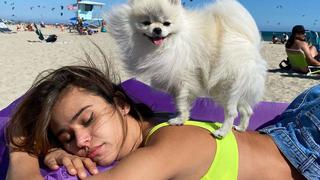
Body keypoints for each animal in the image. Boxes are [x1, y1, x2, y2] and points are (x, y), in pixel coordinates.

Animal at [109, 0, 266, 137]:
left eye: (167, 23)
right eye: (146, 23)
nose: (157, 29)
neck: (169, 43)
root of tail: (249, 43)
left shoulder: (183, 80)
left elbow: (181, 102)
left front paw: (179, 120)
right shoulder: (175, 82)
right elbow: (179, 103)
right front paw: (179, 116)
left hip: (225, 87)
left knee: (232, 112)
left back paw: (222, 132)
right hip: (231, 90)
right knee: (247, 110)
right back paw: (241, 128)